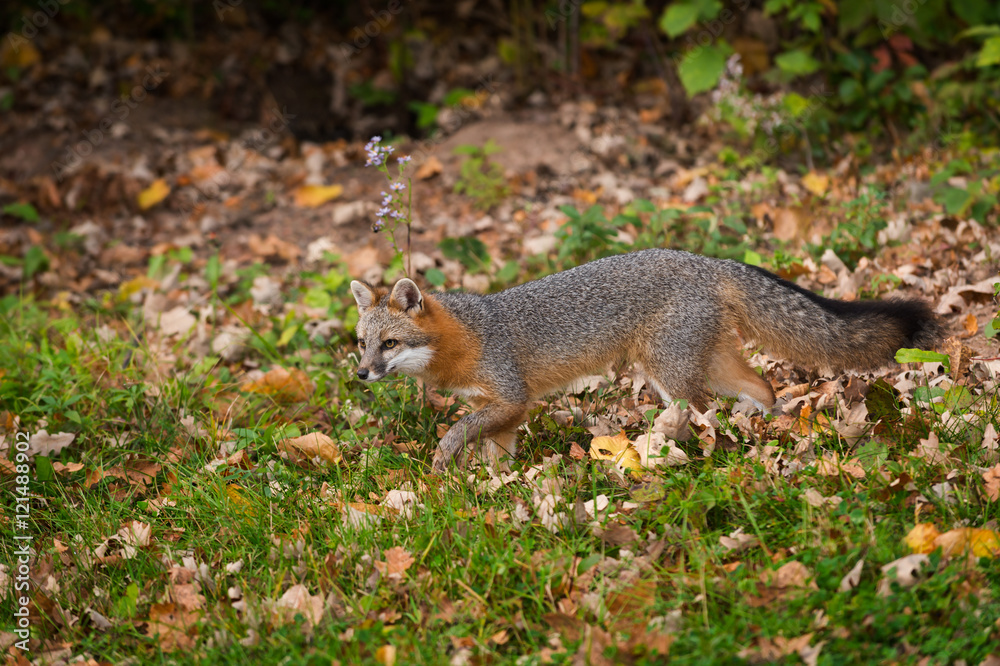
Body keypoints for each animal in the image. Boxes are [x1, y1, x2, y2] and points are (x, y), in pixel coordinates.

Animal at [350, 248, 941, 472]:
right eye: (361, 343)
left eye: (389, 345)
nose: (360, 374)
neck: (467, 338)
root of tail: (703, 258)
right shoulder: (502, 412)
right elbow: (495, 455)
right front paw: (493, 489)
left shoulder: (511, 398)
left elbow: (457, 430)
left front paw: (442, 463)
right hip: (701, 366)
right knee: (764, 390)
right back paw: (770, 433)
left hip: (671, 377)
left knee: (704, 412)